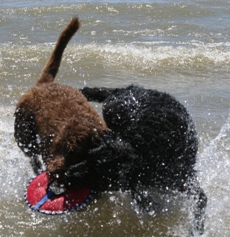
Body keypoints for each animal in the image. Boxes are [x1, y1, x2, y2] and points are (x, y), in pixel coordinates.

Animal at [80, 85, 207, 235]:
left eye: (94, 167)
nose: (66, 175)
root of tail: (121, 90)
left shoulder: (182, 179)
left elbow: (200, 201)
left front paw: (197, 230)